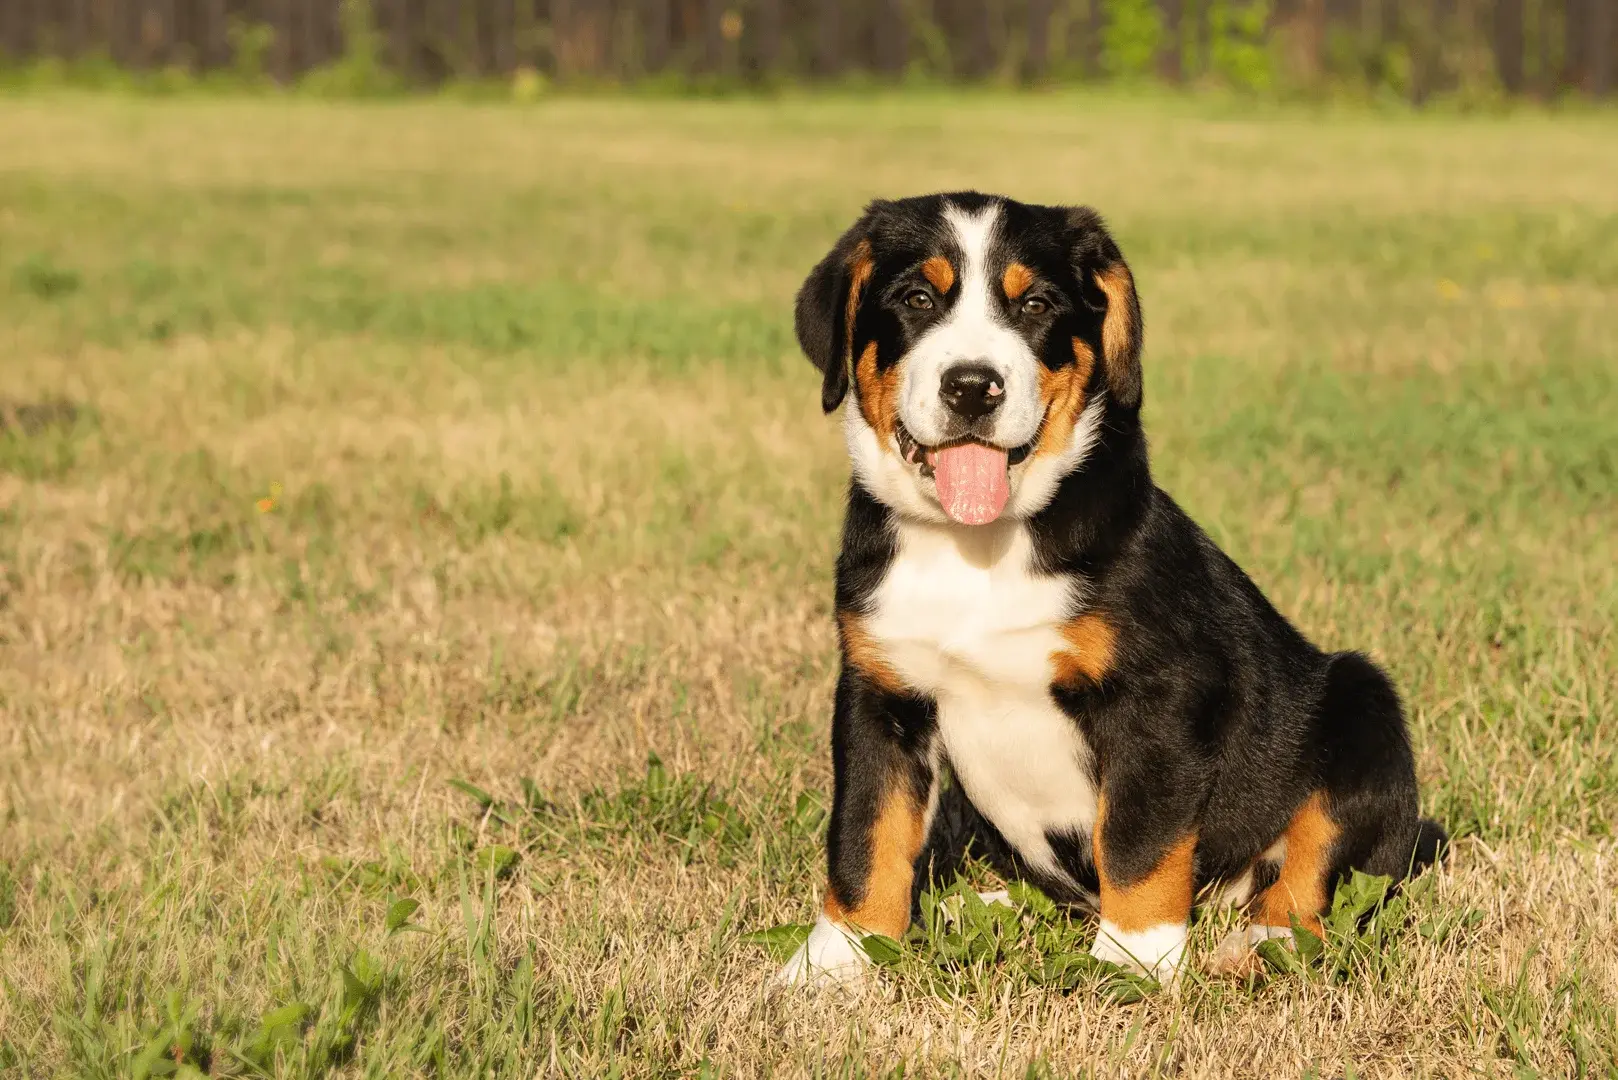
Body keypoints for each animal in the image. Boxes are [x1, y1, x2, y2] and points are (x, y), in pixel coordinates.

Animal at [776, 191, 1449, 990]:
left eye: (1035, 303)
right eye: (916, 299)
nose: (973, 385)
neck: (981, 546)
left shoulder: (1158, 697)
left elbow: (1137, 840)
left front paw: (1135, 960)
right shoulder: (880, 693)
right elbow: (865, 834)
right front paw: (835, 961)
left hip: (1362, 706)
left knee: (1316, 870)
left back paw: (1260, 943)